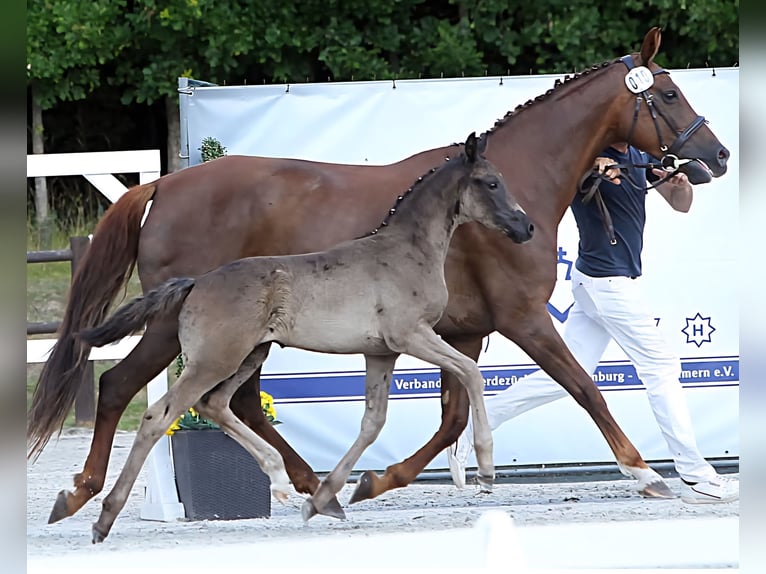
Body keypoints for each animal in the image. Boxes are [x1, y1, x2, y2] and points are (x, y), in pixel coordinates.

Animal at [78, 133, 534, 542]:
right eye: (491, 182)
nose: (525, 226)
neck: (407, 252)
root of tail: (194, 284)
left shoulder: (381, 353)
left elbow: (372, 422)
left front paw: (324, 499)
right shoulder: (411, 335)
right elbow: (471, 371)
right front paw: (486, 469)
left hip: (249, 354)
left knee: (215, 404)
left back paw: (280, 480)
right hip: (216, 359)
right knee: (160, 415)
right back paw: (103, 518)